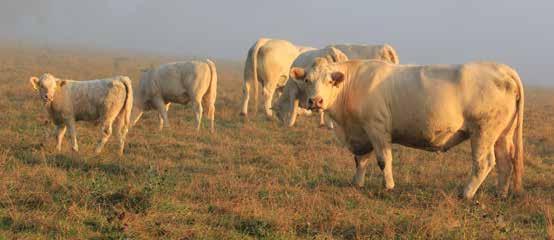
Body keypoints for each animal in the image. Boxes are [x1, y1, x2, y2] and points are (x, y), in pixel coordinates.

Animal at [288, 58, 520, 199]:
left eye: (329, 81)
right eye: (307, 80)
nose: (315, 101)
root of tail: (501, 68)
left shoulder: (377, 127)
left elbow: (383, 160)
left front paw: (389, 186)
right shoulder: (362, 132)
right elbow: (361, 160)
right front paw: (357, 183)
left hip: (483, 131)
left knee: (484, 162)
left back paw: (466, 193)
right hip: (502, 134)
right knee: (505, 162)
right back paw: (500, 193)